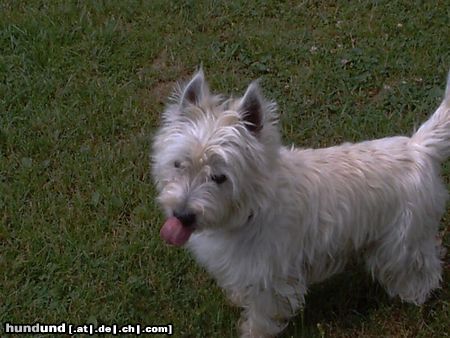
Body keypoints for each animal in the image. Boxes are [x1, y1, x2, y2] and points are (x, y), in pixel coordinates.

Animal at [152, 70, 450, 336]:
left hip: (402, 238)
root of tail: (417, 147)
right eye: (178, 164)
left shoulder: (270, 277)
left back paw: (415, 295)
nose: (182, 214)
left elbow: (263, 312)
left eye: (219, 177)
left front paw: (253, 332)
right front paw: (237, 298)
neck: (252, 208)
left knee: (423, 265)